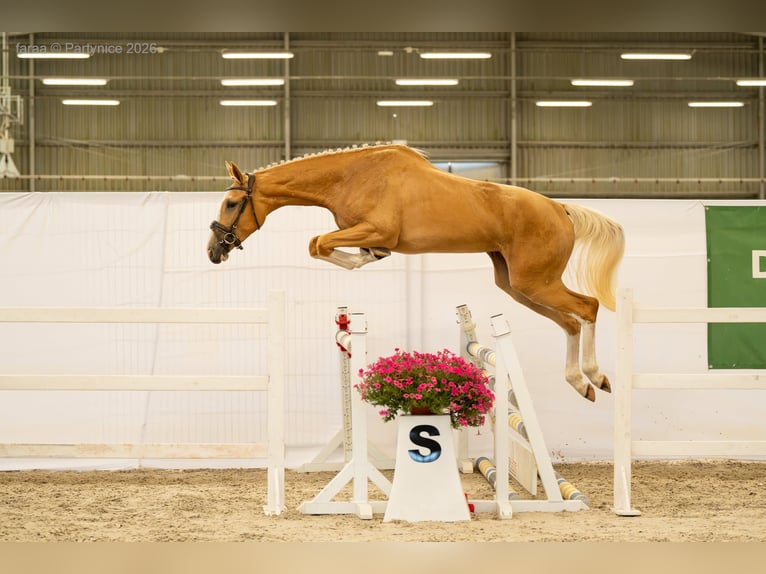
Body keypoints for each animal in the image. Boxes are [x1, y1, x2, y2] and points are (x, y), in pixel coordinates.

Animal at [207, 144, 625, 401]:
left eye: (231, 203)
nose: (214, 251)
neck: (351, 176)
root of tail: (561, 209)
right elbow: (325, 246)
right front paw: (368, 258)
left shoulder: (375, 229)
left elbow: (317, 243)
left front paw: (363, 258)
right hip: (515, 285)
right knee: (569, 322)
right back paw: (580, 383)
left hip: (536, 281)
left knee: (587, 308)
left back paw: (596, 376)